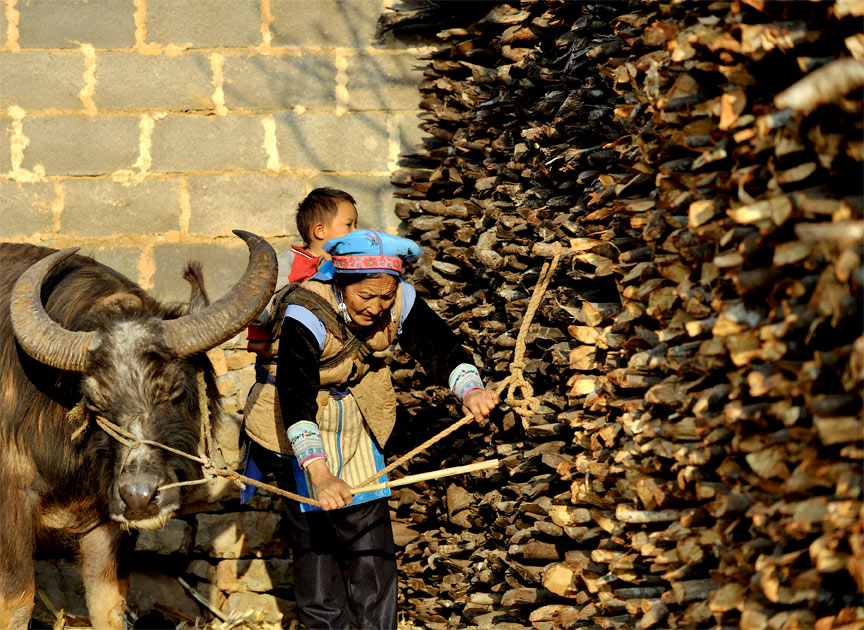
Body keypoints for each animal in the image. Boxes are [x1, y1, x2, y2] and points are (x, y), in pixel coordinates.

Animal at [0, 231, 276, 628]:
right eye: (95, 401)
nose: (140, 496)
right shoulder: (13, 504)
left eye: (173, 390)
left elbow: (108, 603)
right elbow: (17, 602)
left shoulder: (108, 518)